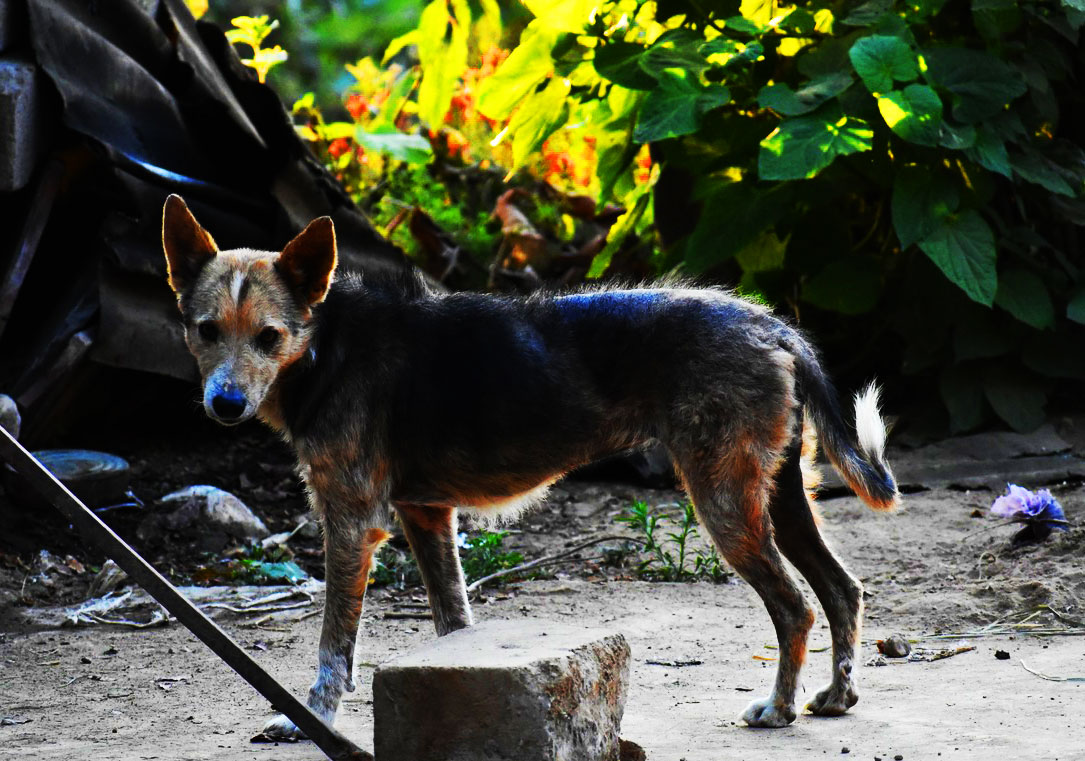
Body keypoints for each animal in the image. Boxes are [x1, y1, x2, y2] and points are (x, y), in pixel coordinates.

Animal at [160, 193, 902, 738]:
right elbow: (453, 625)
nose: (224, 404)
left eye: (269, 337)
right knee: (841, 590)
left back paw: (777, 708)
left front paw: (309, 720)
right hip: (777, 496)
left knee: (795, 608)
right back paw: (836, 694)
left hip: (723, 501)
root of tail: (771, 324)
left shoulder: (350, 525)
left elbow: (332, 647)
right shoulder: (426, 515)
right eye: (205, 331)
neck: (325, 344)